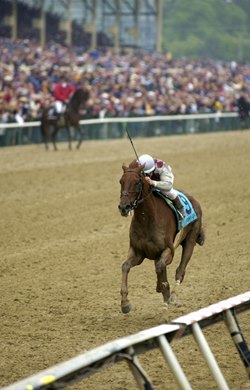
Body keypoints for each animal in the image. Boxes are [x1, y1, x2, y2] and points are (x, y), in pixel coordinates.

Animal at [118, 158, 204, 314]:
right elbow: (125, 266)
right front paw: (125, 302)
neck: (147, 219)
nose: (124, 207)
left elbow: (160, 267)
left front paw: (165, 294)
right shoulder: (138, 252)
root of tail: (194, 199)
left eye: (137, 182)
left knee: (180, 271)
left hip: (190, 240)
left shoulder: (169, 250)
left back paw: (173, 296)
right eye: (121, 181)